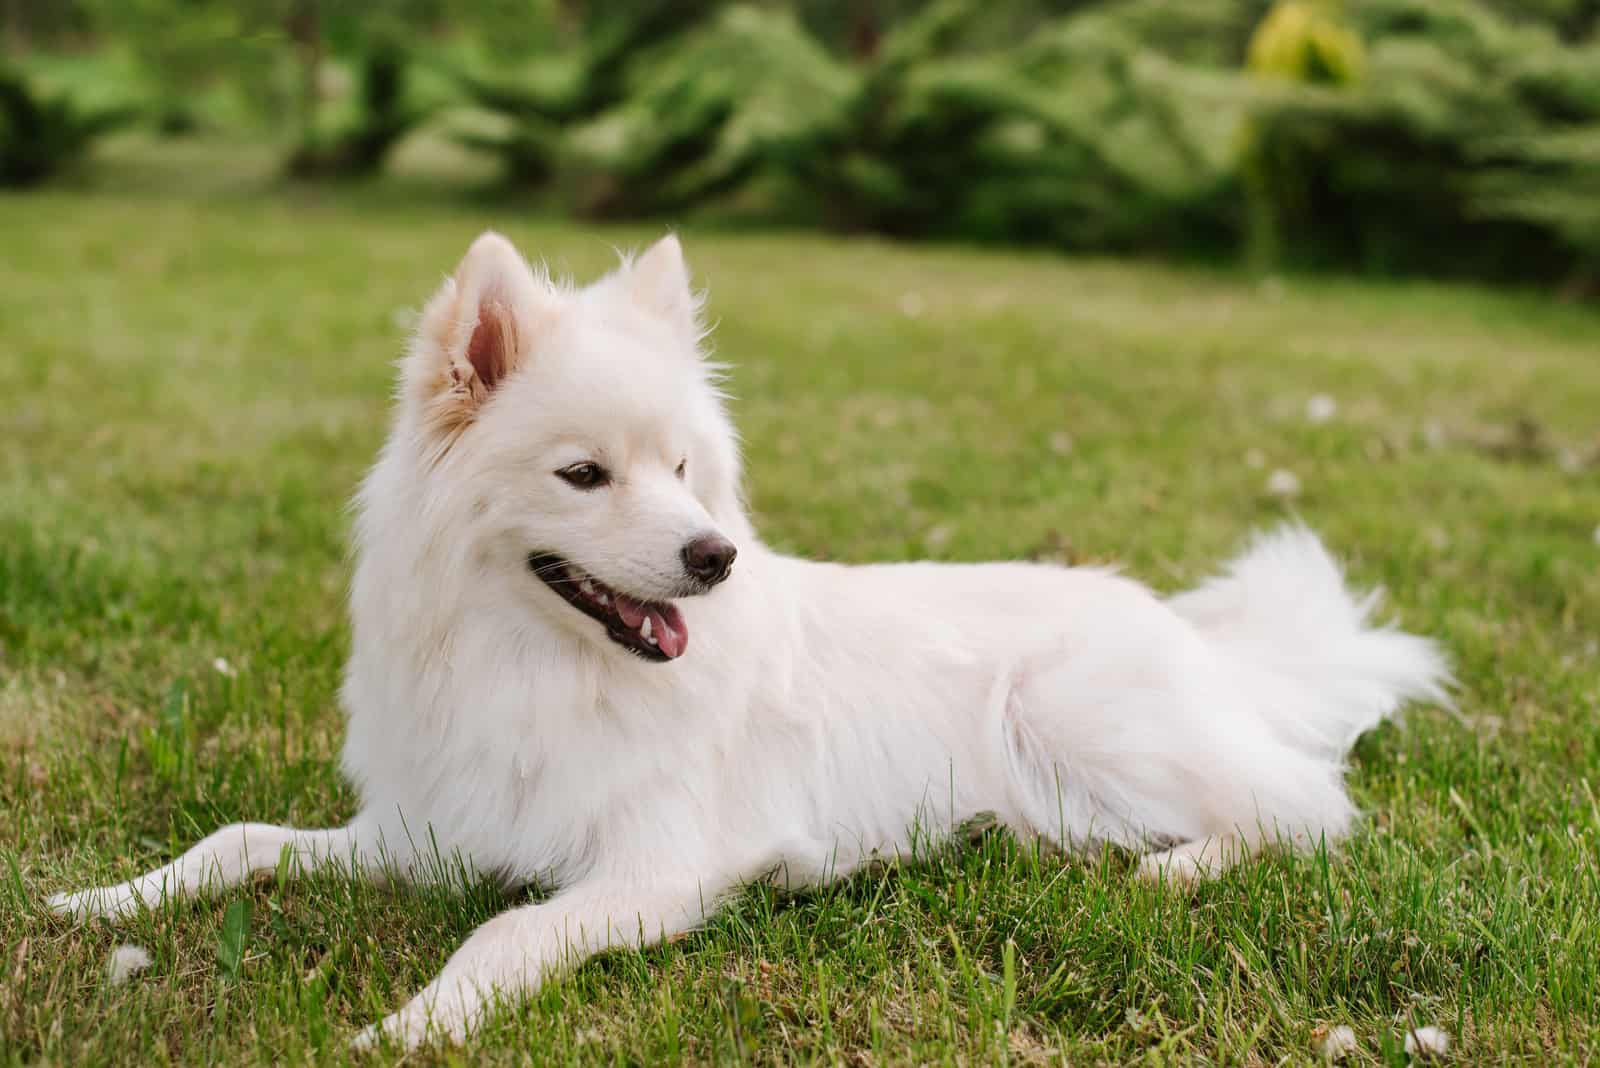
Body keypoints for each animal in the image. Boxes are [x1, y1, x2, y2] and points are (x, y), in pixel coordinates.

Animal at [50, 235, 1452, 1048]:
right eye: (584, 474)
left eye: (682, 470)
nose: (710, 558)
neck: (539, 665)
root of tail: (1193, 640)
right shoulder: (426, 829)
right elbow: (237, 841)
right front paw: (96, 899)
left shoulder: (661, 866)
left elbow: (503, 934)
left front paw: (418, 1022)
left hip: (1074, 719)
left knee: (1303, 809)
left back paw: (1173, 870)